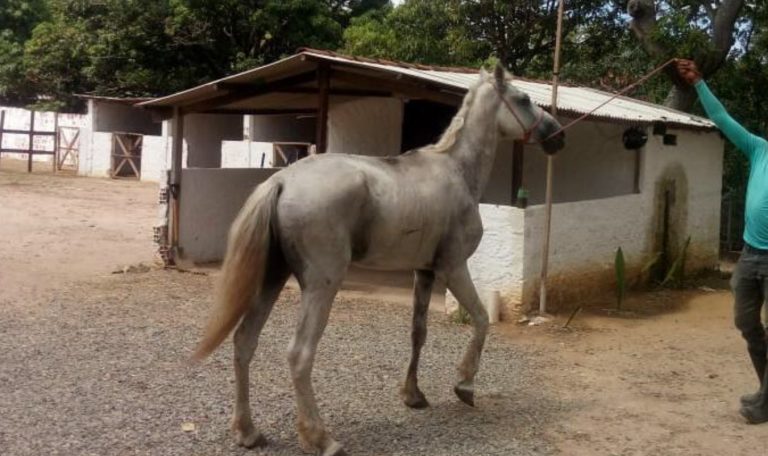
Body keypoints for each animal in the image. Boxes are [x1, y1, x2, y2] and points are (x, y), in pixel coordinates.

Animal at [192, 64, 564, 456]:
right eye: (524, 99)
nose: (557, 135)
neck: (456, 171)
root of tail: (281, 181)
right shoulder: (453, 268)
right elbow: (480, 320)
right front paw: (464, 385)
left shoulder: (424, 272)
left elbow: (418, 333)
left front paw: (413, 395)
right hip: (321, 286)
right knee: (299, 354)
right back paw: (320, 438)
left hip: (272, 279)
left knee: (244, 342)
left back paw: (248, 432)